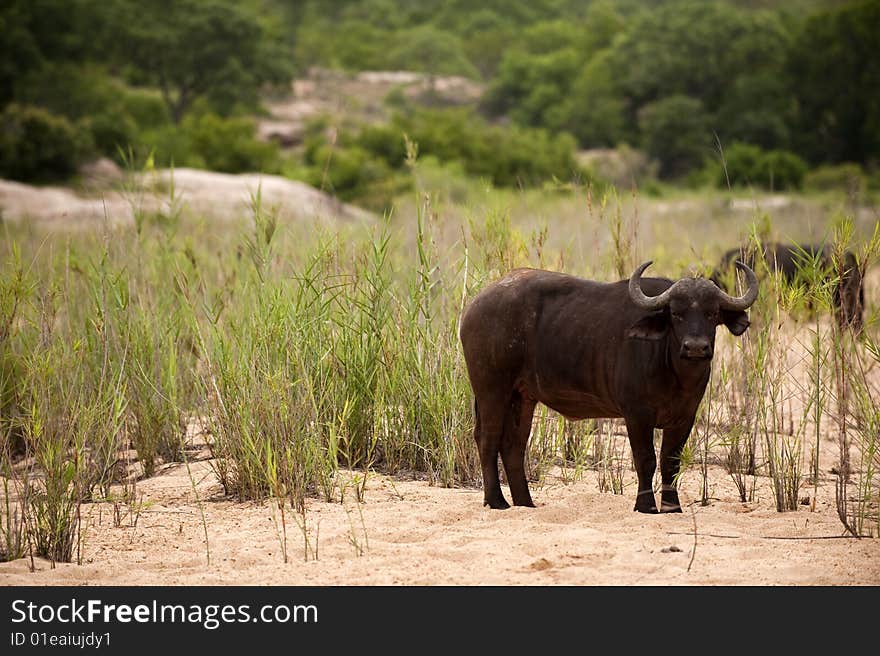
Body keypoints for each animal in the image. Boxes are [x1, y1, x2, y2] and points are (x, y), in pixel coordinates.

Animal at [458, 262, 760, 512]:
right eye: (676, 313)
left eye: (712, 313)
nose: (695, 347)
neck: (675, 374)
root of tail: (475, 307)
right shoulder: (637, 414)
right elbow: (646, 459)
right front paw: (646, 506)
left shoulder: (685, 417)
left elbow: (670, 461)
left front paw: (672, 506)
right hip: (491, 390)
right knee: (487, 439)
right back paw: (497, 501)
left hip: (522, 397)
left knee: (513, 446)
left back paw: (525, 503)